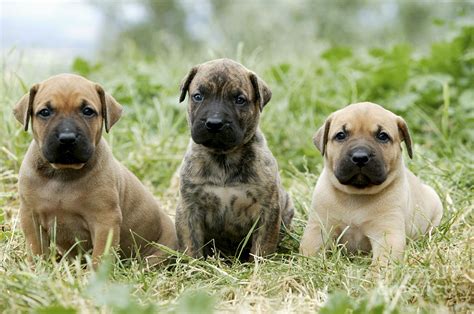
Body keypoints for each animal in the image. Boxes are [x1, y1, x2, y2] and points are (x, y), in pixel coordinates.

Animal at [15, 73, 178, 264]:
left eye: (87, 111)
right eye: (45, 112)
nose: (67, 138)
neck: (63, 173)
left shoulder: (105, 221)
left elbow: (101, 255)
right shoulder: (30, 216)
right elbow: (37, 249)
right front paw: (37, 267)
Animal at [175, 59, 292, 260]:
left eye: (239, 100)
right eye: (198, 96)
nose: (214, 123)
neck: (223, 157)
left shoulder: (267, 209)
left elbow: (263, 244)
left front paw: (258, 264)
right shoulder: (189, 208)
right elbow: (191, 244)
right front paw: (193, 265)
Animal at [302, 102, 442, 264]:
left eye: (382, 136)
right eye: (341, 135)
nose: (360, 157)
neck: (356, 195)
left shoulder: (387, 233)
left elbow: (382, 262)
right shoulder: (319, 228)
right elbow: (310, 251)